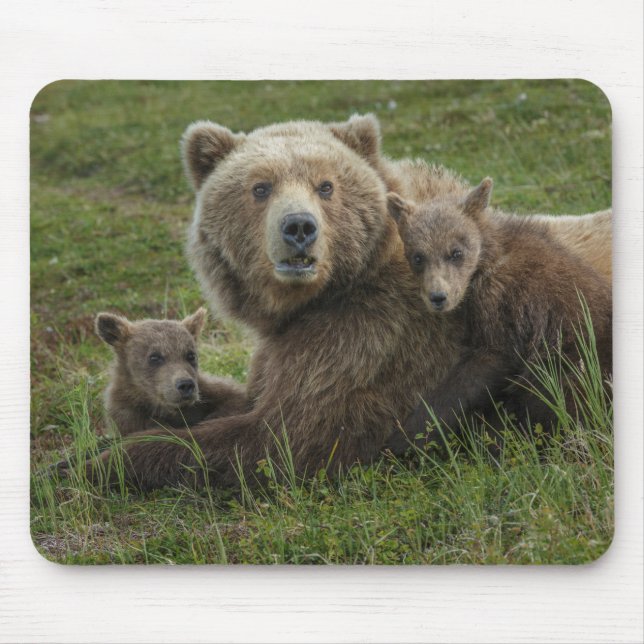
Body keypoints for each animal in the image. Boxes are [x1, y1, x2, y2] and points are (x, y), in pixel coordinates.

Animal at [385, 178, 612, 451]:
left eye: (456, 252)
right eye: (418, 257)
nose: (438, 297)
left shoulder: (509, 310)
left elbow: (479, 371)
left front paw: (402, 438)